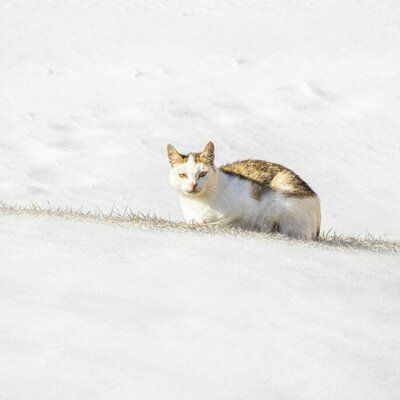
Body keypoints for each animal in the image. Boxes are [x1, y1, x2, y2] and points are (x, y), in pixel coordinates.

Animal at [167, 141, 320, 239]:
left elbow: (232, 219)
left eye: (203, 174)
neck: (200, 202)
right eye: (182, 175)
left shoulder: (248, 203)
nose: (193, 185)